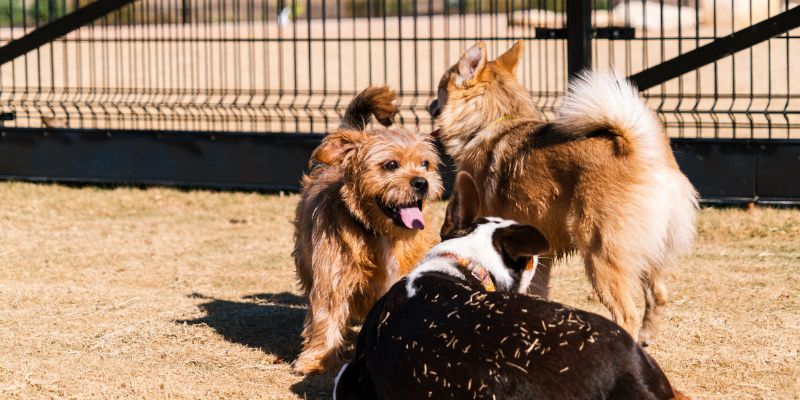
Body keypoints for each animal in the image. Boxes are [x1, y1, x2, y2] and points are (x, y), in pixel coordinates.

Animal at [294, 86, 444, 374]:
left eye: (425, 164)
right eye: (391, 165)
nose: (422, 182)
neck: (382, 233)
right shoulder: (333, 278)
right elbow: (326, 316)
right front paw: (317, 359)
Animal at [428, 43, 696, 344]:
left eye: (440, 88)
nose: (430, 104)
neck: (489, 123)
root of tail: (643, 152)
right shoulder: (539, 257)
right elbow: (537, 291)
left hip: (599, 254)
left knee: (627, 315)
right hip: (649, 253)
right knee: (658, 295)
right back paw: (645, 339)